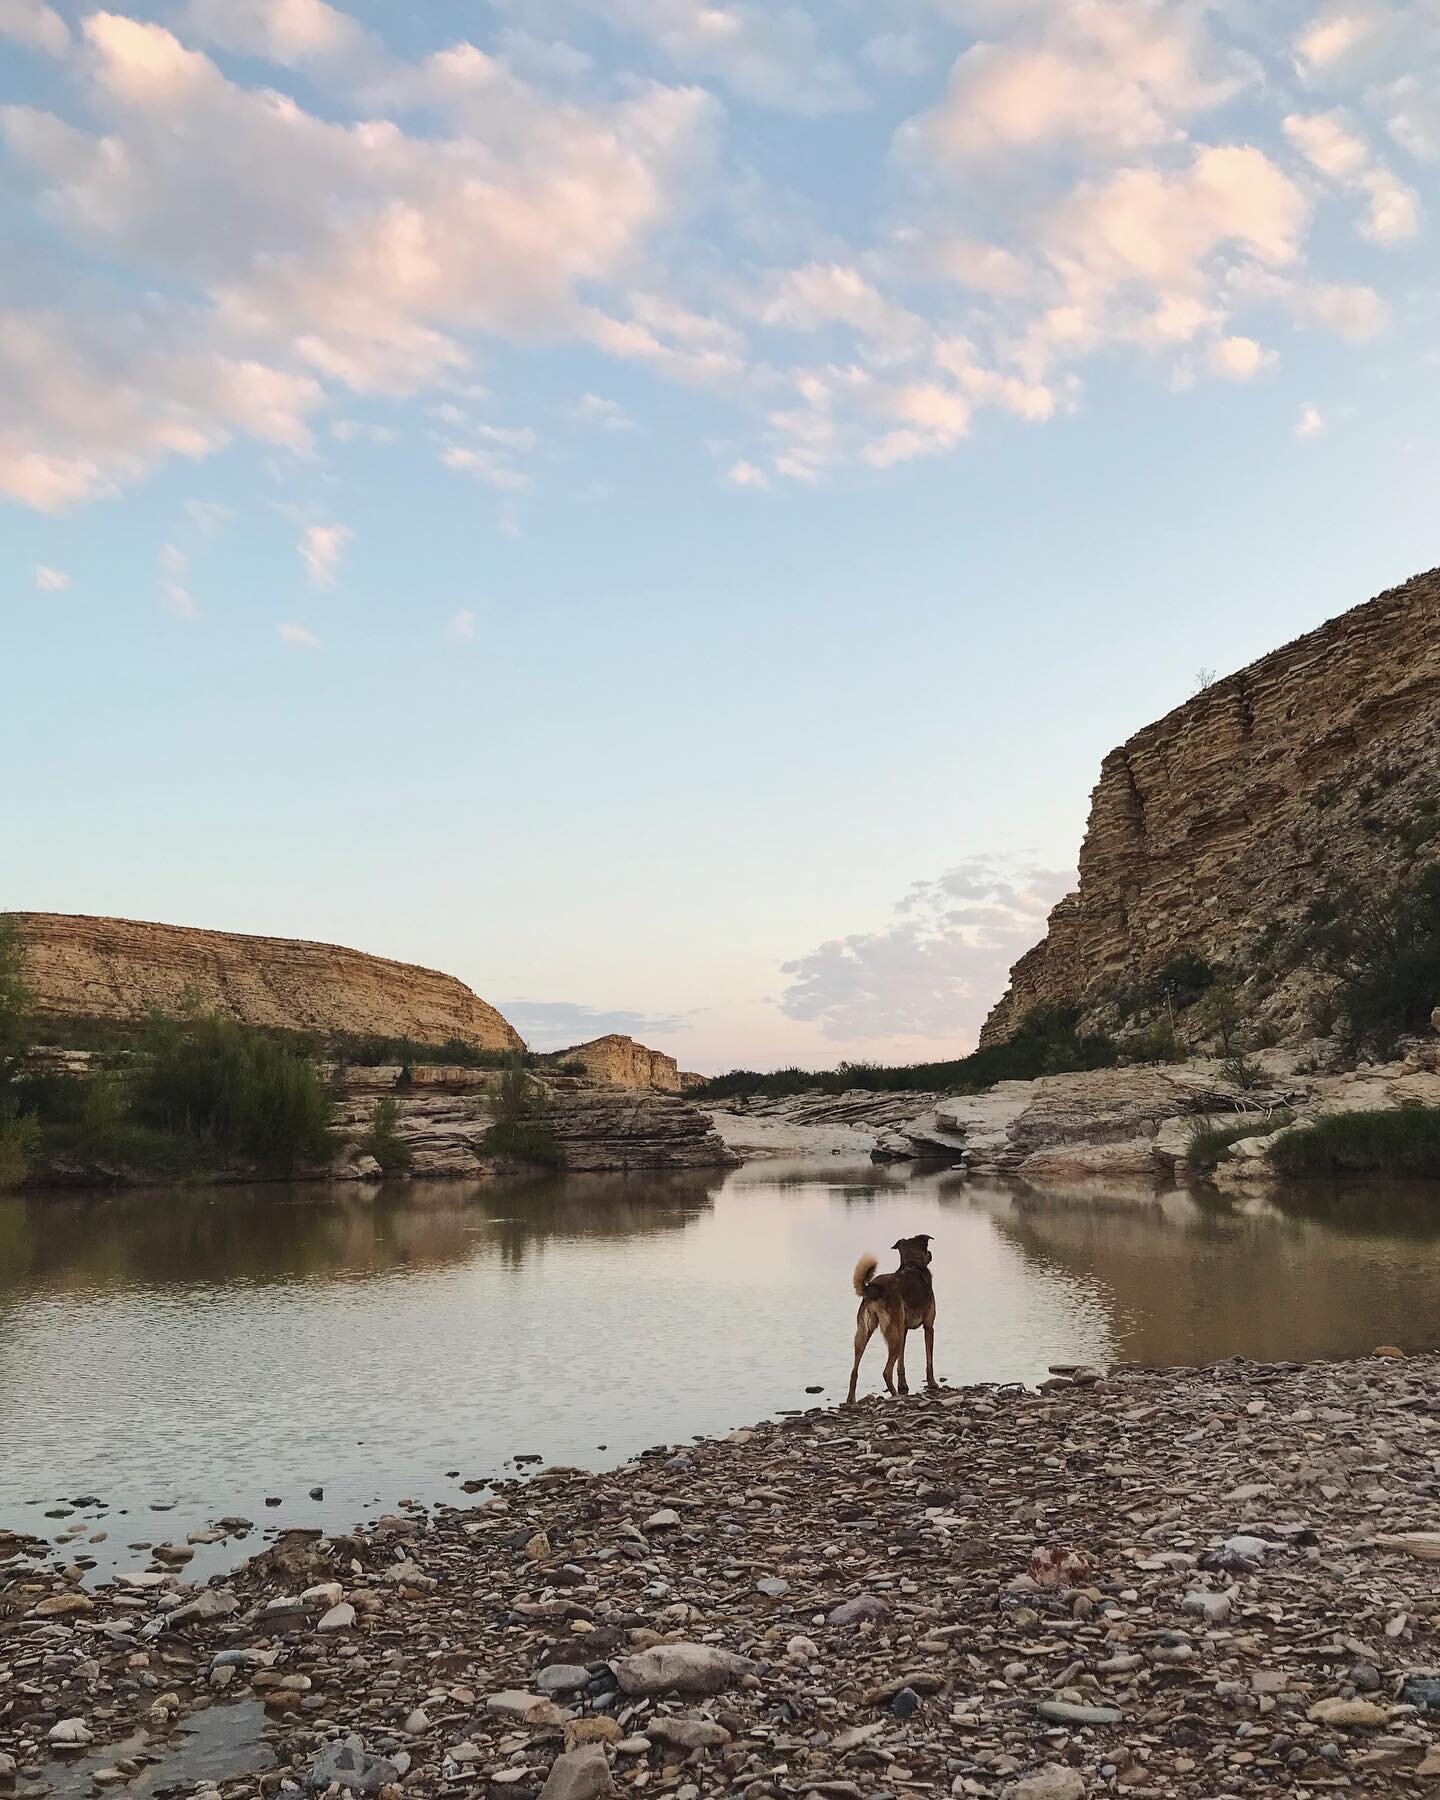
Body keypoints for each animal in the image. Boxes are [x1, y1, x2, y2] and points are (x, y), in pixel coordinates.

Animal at [838, 1238, 936, 1404]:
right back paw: (896, 1395)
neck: (912, 1264)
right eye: (927, 1247)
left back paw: (851, 1399)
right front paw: (933, 1384)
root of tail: (875, 1288)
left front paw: (903, 1385)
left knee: (854, 1371)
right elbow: (929, 1362)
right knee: (886, 1372)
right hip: (894, 1336)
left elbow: (901, 1364)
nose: (931, 1253)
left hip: (864, 1334)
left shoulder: (903, 1330)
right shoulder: (929, 1327)